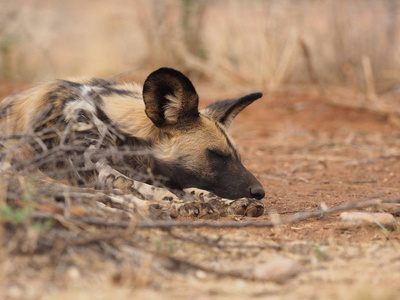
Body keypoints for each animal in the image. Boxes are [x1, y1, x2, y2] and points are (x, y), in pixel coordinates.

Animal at [0, 68, 266, 218]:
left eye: (237, 156)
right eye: (216, 155)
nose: (260, 192)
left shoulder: (159, 174)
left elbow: (197, 191)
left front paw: (228, 204)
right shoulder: (102, 173)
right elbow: (156, 191)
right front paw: (180, 206)